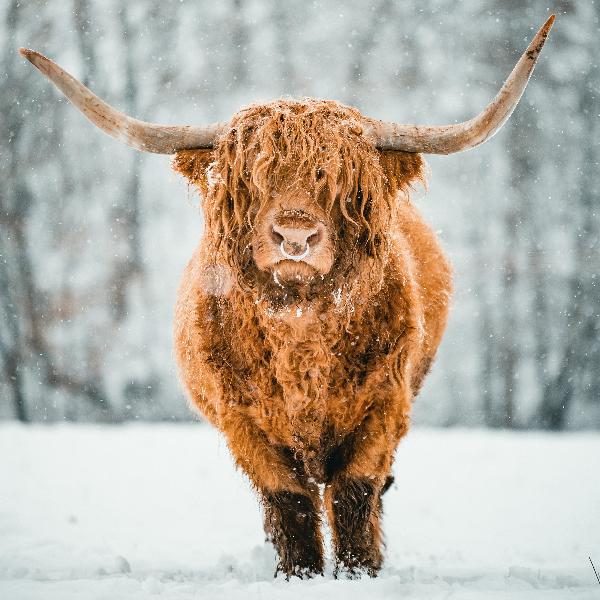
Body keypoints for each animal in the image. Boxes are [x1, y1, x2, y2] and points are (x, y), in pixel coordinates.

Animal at [21, 16, 556, 580]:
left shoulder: (385, 405)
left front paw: (360, 572)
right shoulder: (243, 421)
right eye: (254, 180)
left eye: (340, 181)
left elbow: (354, 493)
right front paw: (300, 574)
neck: (300, 331)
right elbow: (290, 501)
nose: (295, 236)